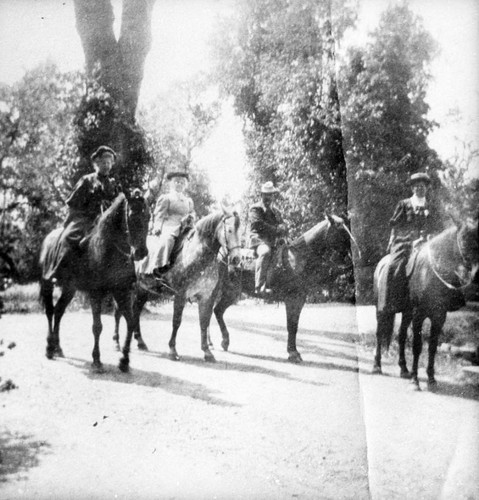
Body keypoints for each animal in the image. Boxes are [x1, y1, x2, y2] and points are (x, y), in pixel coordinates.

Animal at [38, 193, 149, 374]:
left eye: (148, 216)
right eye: (132, 214)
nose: (141, 252)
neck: (108, 248)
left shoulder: (122, 292)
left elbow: (131, 322)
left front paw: (124, 361)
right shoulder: (95, 293)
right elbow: (97, 326)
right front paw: (97, 360)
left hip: (69, 289)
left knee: (59, 311)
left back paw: (58, 348)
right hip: (47, 284)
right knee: (50, 311)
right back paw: (49, 348)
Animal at [115, 205, 244, 362]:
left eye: (240, 231)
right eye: (230, 230)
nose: (236, 259)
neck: (199, 255)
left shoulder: (206, 297)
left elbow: (204, 321)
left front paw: (207, 352)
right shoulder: (181, 294)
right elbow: (176, 321)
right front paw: (172, 350)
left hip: (143, 290)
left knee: (136, 311)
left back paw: (140, 342)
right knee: (119, 311)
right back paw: (116, 343)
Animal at [212, 213, 354, 362]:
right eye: (340, 230)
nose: (354, 250)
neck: (298, 257)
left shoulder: (299, 299)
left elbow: (294, 326)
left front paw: (293, 352)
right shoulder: (292, 299)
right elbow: (291, 326)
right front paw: (293, 353)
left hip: (230, 292)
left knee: (217, 311)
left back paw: (221, 342)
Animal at [376, 220, 479, 390]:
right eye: (464, 240)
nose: (477, 274)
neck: (430, 272)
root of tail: (381, 263)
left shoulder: (439, 317)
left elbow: (432, 347)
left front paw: (431, 379)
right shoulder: (418, 315)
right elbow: (417, 346)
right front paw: (415, 380)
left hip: (407, 313)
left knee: (401, 335)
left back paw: (404, 369)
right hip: (381, 310)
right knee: (379, 334)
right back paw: (376, 366)